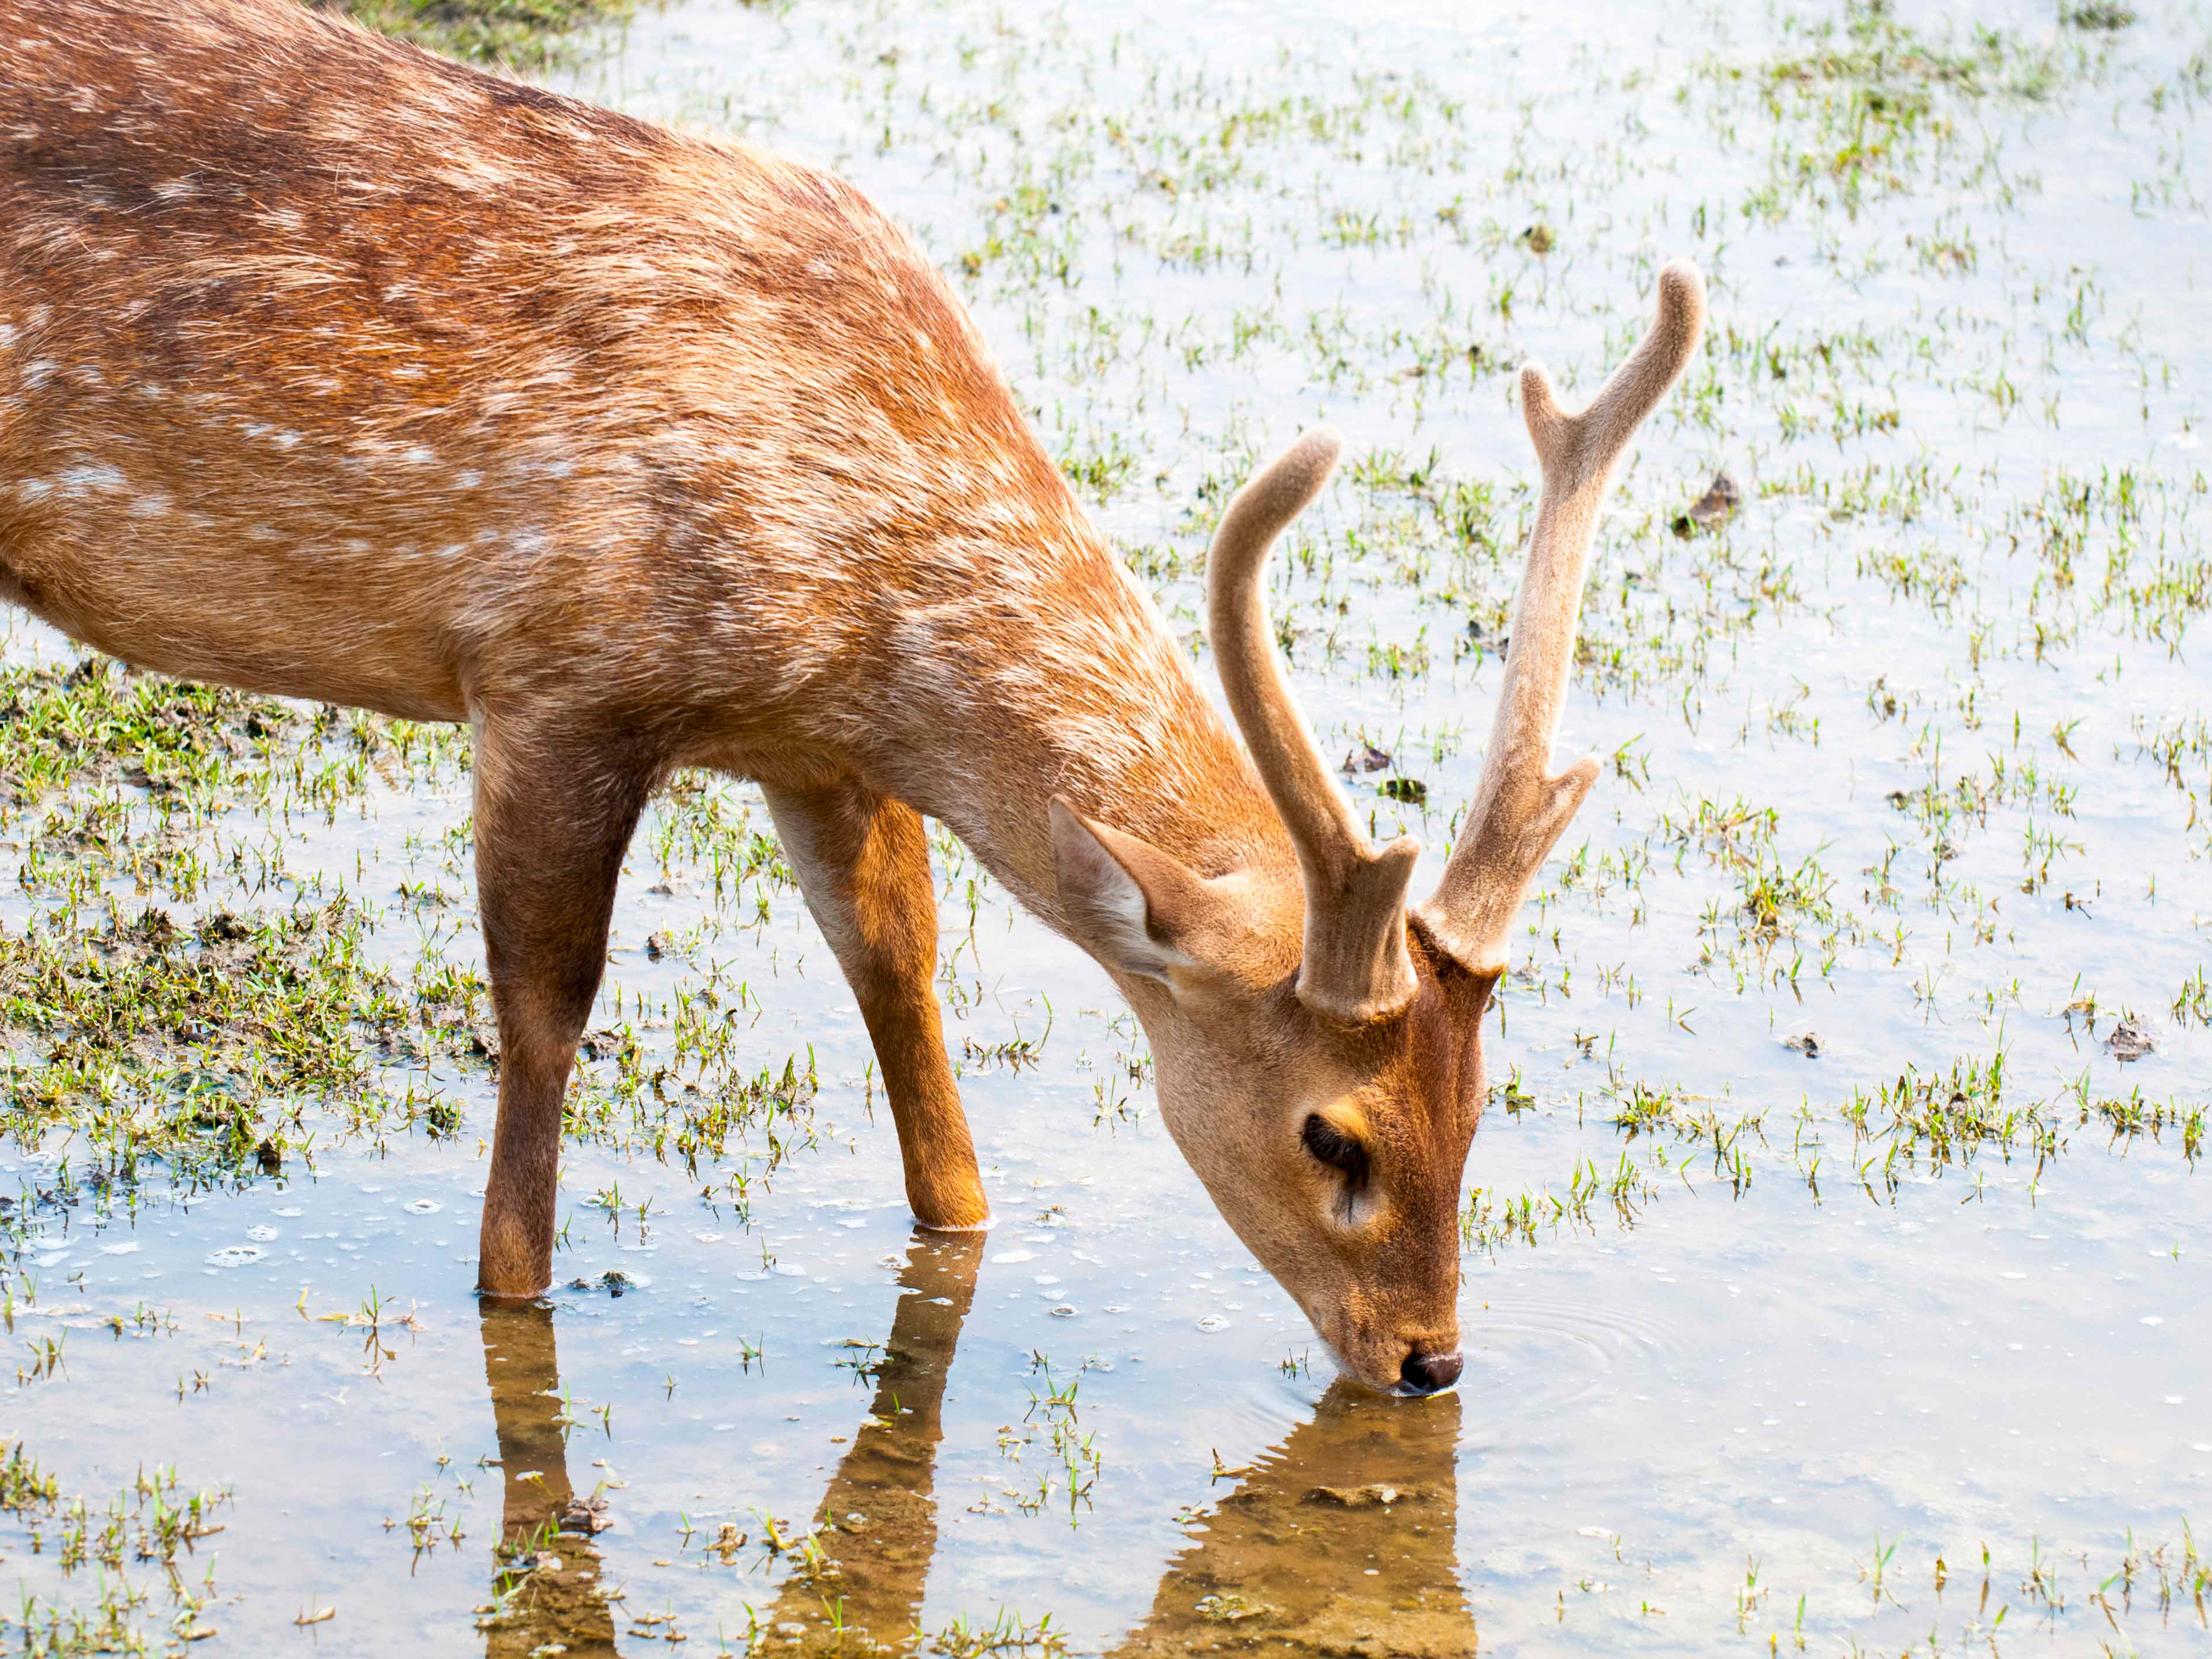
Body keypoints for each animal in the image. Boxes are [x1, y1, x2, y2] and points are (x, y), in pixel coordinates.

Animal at [0, 0, 1707, 1407]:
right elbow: (546, 1025)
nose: (1428, 1359)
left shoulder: (812, 748)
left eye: (1478, 1108)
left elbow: (903, 992)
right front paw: (511, 1299)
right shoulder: (556, 669)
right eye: (1329, 1133)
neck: (861, 585)